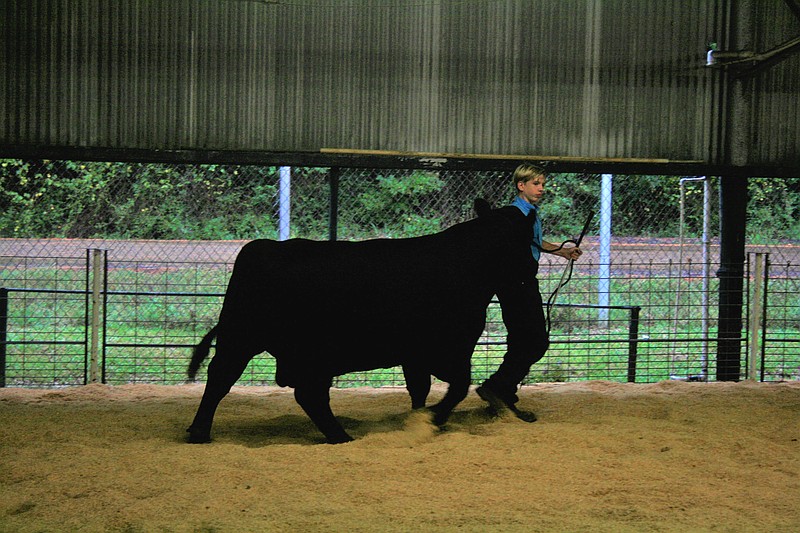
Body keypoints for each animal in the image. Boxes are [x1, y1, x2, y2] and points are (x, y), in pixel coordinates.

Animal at [187, 197, 536, 442]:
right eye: (526, 242)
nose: (532, 270)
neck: (468, 263)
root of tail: (260, 248)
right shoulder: (450, 347)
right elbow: (459, 386)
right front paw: (431, 419)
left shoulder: (416, 354)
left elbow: (420, 388)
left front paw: (418, 416)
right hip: (257, 340)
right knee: (234, 380)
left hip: (259, 342)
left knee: (264, 387)